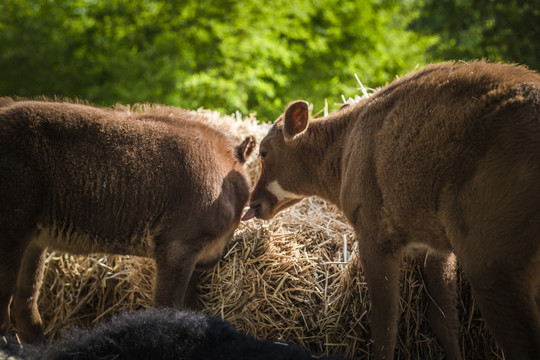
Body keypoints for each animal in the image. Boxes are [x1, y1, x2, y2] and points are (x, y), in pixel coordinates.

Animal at [0, 99, 254, 344]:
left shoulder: (198, 260)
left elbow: (192, 309)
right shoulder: (177, 248)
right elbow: (167, 307)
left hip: (33, 241)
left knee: (25, 304)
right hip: (11, 233)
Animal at [245, 60, 540, 358]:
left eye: (263, 152)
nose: (253, 201)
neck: (343, 151)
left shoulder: (375, 236)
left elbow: (384, 324)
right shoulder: (434, 247)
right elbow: (444, 319)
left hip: (491, 261)